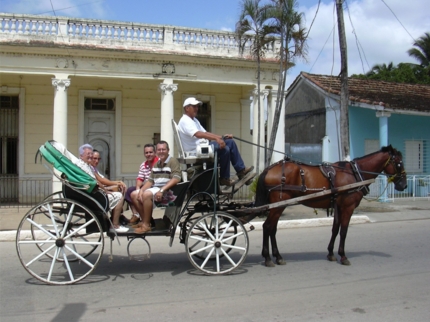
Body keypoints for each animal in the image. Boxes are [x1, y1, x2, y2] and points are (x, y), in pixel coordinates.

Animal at [254, 145, 408, 266]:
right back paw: (268, 258)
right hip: (278, 205)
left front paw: (331, 253)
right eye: (399, 163)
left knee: (272, 229)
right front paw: (343, 256)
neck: (354, 173)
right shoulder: (348, 207)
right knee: (267, 227)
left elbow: (335, 229)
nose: (404, 185)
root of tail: (268, 169)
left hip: (279, 205)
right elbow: (344, 231)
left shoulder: (338, 207)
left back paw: (278, 257)